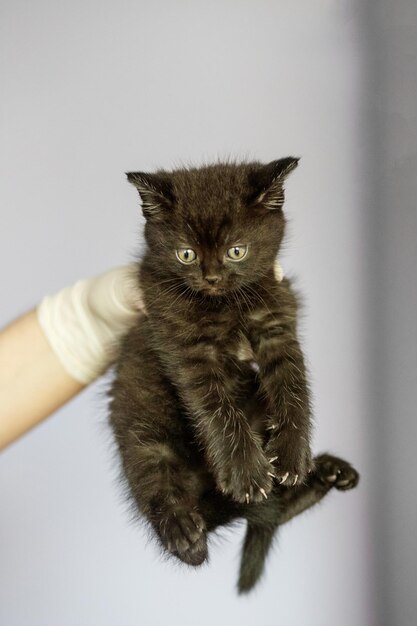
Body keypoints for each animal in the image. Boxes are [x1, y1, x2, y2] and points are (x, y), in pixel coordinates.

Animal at [108, 158, 358, 592]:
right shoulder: (183, 344)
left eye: (236, 251)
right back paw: (182, 528)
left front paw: (292, 453)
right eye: (186, 254)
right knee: (172, 498)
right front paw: (245, 472)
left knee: (267, 511)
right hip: (144, 433)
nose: (210, 276)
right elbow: (217, 406)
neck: (223, 303)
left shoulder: (277, 317)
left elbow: (293, 383)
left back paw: (324, 473)